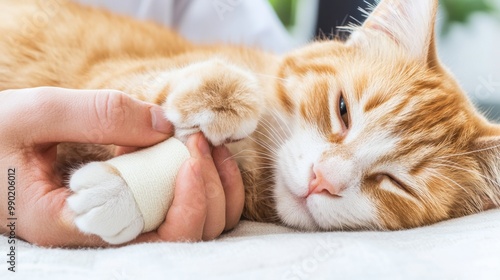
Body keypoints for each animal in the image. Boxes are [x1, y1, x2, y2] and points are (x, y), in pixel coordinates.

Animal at [1, 0, 498, 245]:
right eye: (342, 110)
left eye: (394, 183)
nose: (321, 179)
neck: (257, 162)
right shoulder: (107, 73)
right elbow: (151, 83)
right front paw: (227, 95)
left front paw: (120, 192)